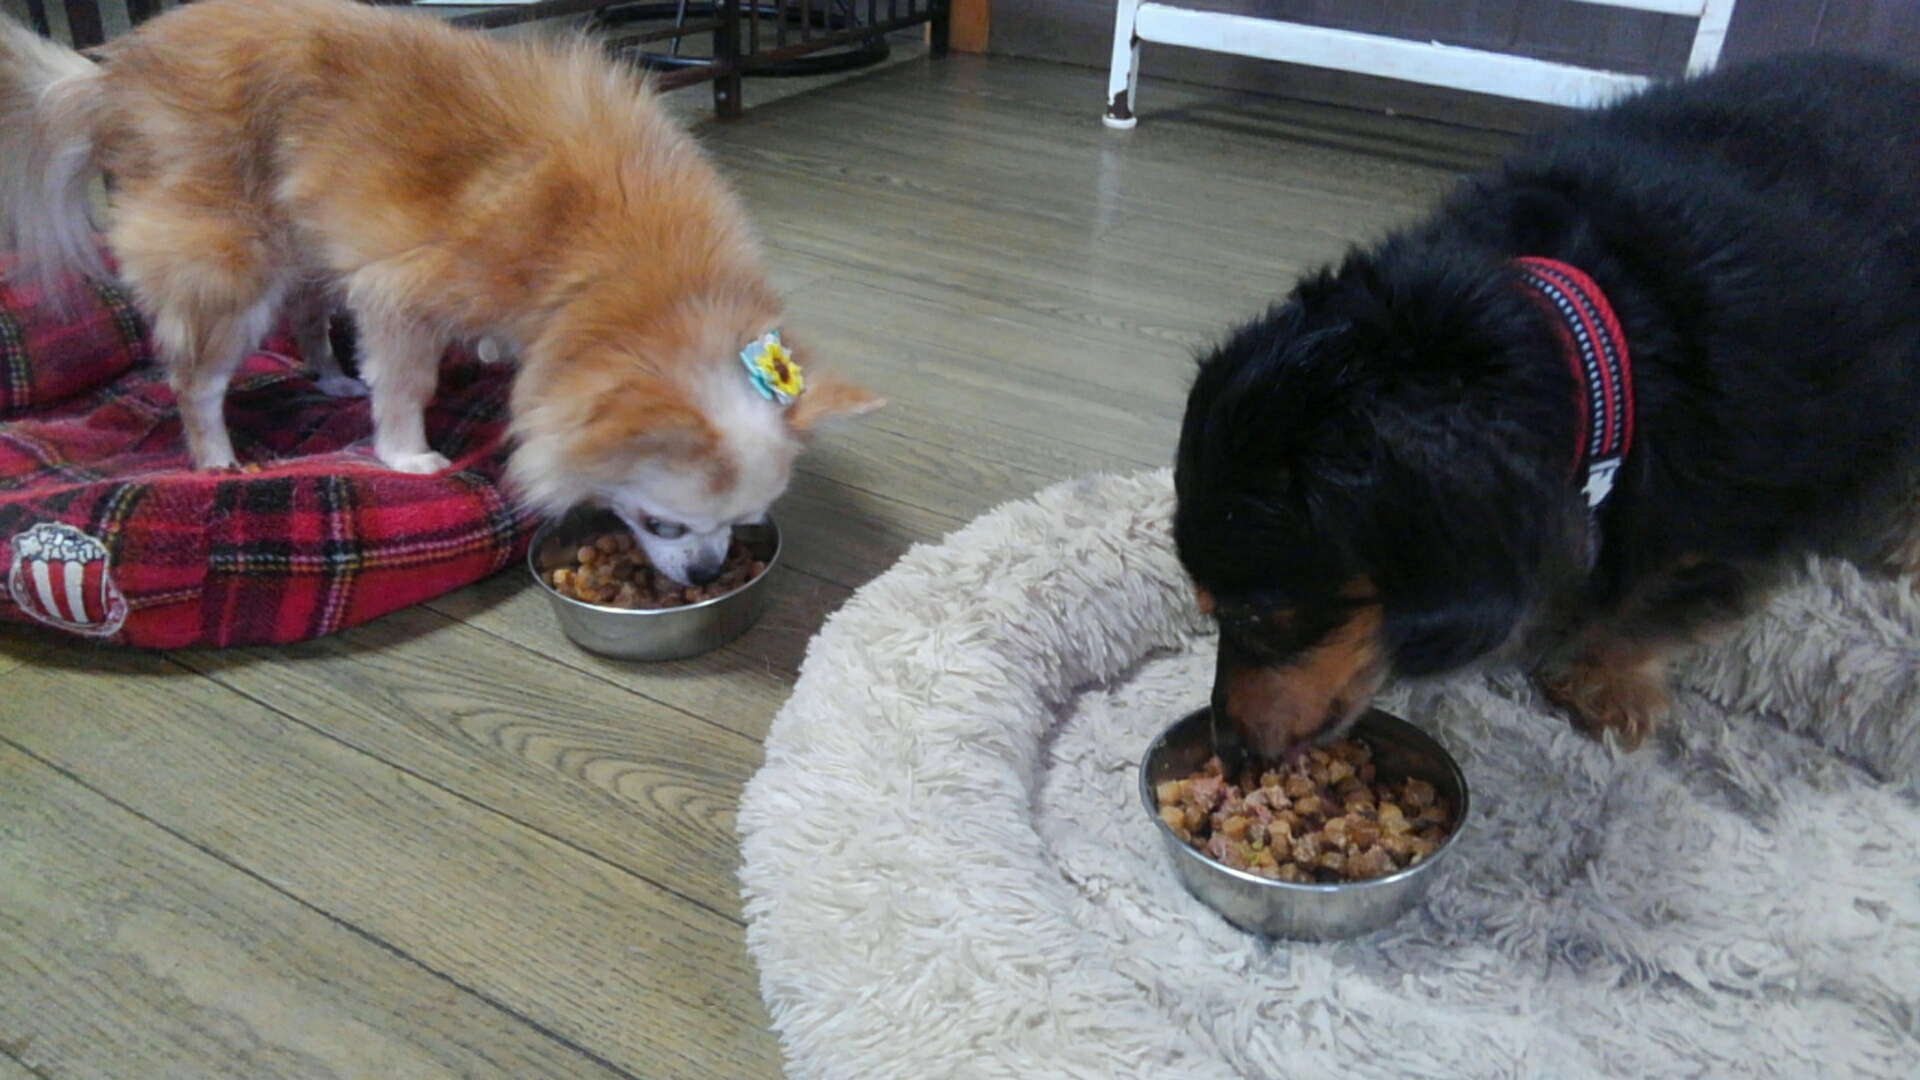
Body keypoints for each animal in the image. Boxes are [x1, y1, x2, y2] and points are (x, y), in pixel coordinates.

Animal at [0, 0, 880, 585]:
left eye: (744, 525)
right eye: (665, 524)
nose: (703, 572)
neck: (618, 271)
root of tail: (111, 76)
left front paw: (485, 351)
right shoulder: (399, 292)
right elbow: (406, 383)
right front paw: (408, 454)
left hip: (307, 241)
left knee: (307, 313)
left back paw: (327, 376)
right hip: (232, 265)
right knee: (196, 379)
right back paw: (217, 461)